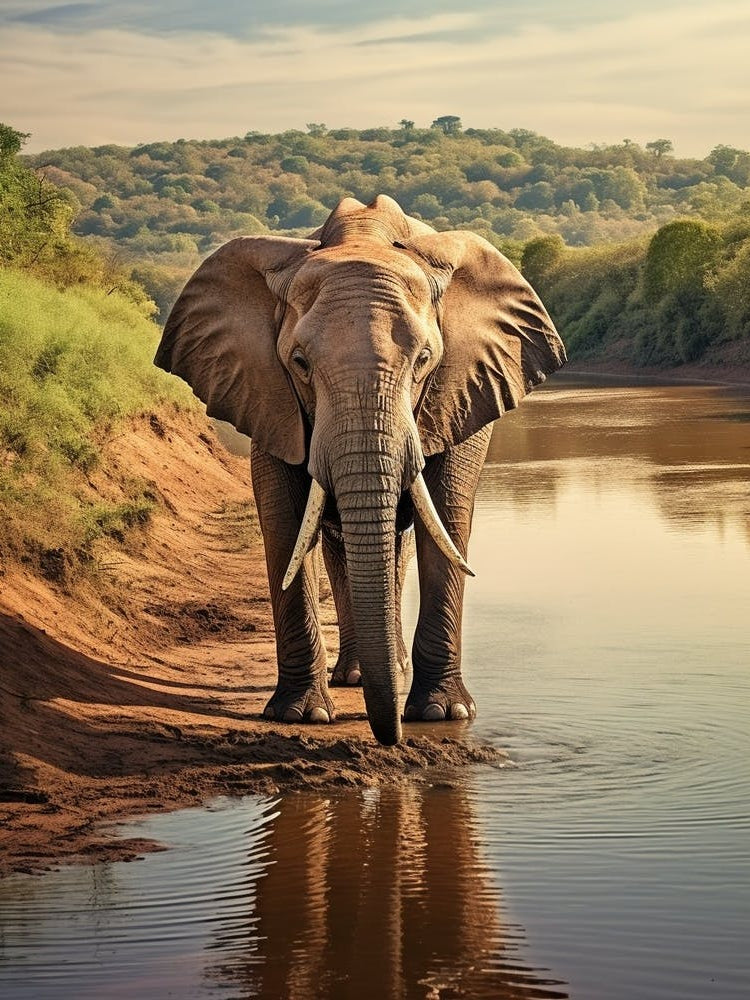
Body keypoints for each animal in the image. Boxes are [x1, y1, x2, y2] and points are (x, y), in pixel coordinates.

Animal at [155, 195, 565, 746]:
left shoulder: (463, 390)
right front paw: (299, 715)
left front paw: (443, 713)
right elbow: (285, 526)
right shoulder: (266, 393)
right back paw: (353, 677)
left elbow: (447, 522)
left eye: (425, 360)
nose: (390, 737)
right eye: (300, 363)